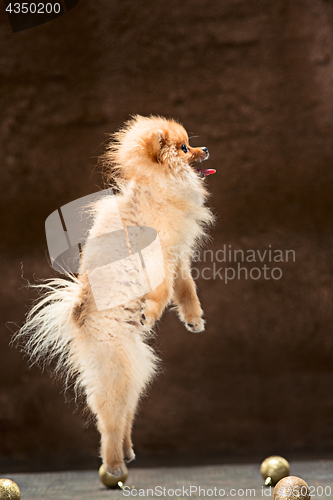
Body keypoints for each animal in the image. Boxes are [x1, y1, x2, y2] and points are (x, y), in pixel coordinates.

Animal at [16, 114, 215, 476]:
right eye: (184, 147)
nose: (205, 147)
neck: (161, 186)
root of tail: (78, 318)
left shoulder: (178, 257)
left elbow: (185, 290)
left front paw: (194, 320)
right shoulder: (160, 255)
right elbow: (165, 291)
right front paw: (151, 312)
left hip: (133, 370)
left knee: (124, 417)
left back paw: (127, 451)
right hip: (117, 369)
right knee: (109, 422)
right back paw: (114, 465)